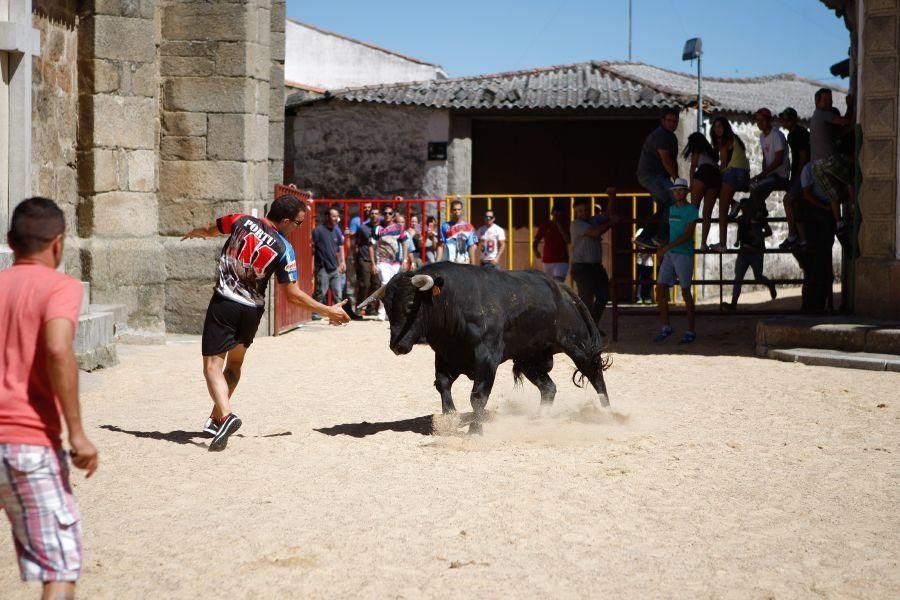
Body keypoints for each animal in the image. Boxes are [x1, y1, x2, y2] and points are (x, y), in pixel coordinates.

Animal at [360, 264, 612, 434]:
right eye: (387, 307)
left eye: (411, 304)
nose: (397, 346)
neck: (453, 302)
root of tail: (562, 288)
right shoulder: (445, 356)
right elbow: (442, 384)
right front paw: (450, 418)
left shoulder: (487, 358)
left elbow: (478, 396)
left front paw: (474, 430)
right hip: (529, 358)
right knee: (549, 387)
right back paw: (540, 418)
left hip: (578, 345)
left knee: (596, 378)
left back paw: (609, 415)